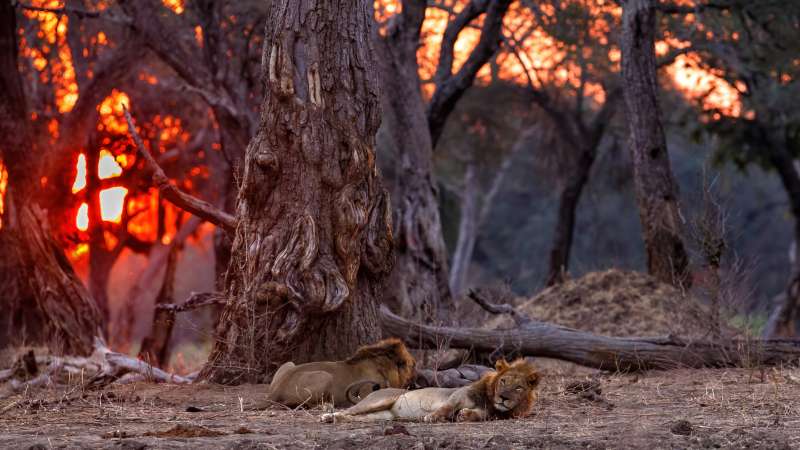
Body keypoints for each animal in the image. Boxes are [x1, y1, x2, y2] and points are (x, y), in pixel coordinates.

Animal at [265, 338, 416, 407]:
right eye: (409, 365)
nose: (415, 364)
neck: (381, 367)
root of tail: (275, 391)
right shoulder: (367, 391)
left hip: (289, 363)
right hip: (325, 376)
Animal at [320, 358, 540, 423]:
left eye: (518, 387)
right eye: (503, 381)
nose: (503, 398)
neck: (489, 398)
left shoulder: (490, 413)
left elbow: (479, 415)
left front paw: (464, 415)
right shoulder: (456, 395)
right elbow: (446, 407)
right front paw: (432, 417)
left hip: (381, 415)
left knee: (353, 417)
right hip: (378, 401)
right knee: (348, 411)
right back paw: (327, 416)